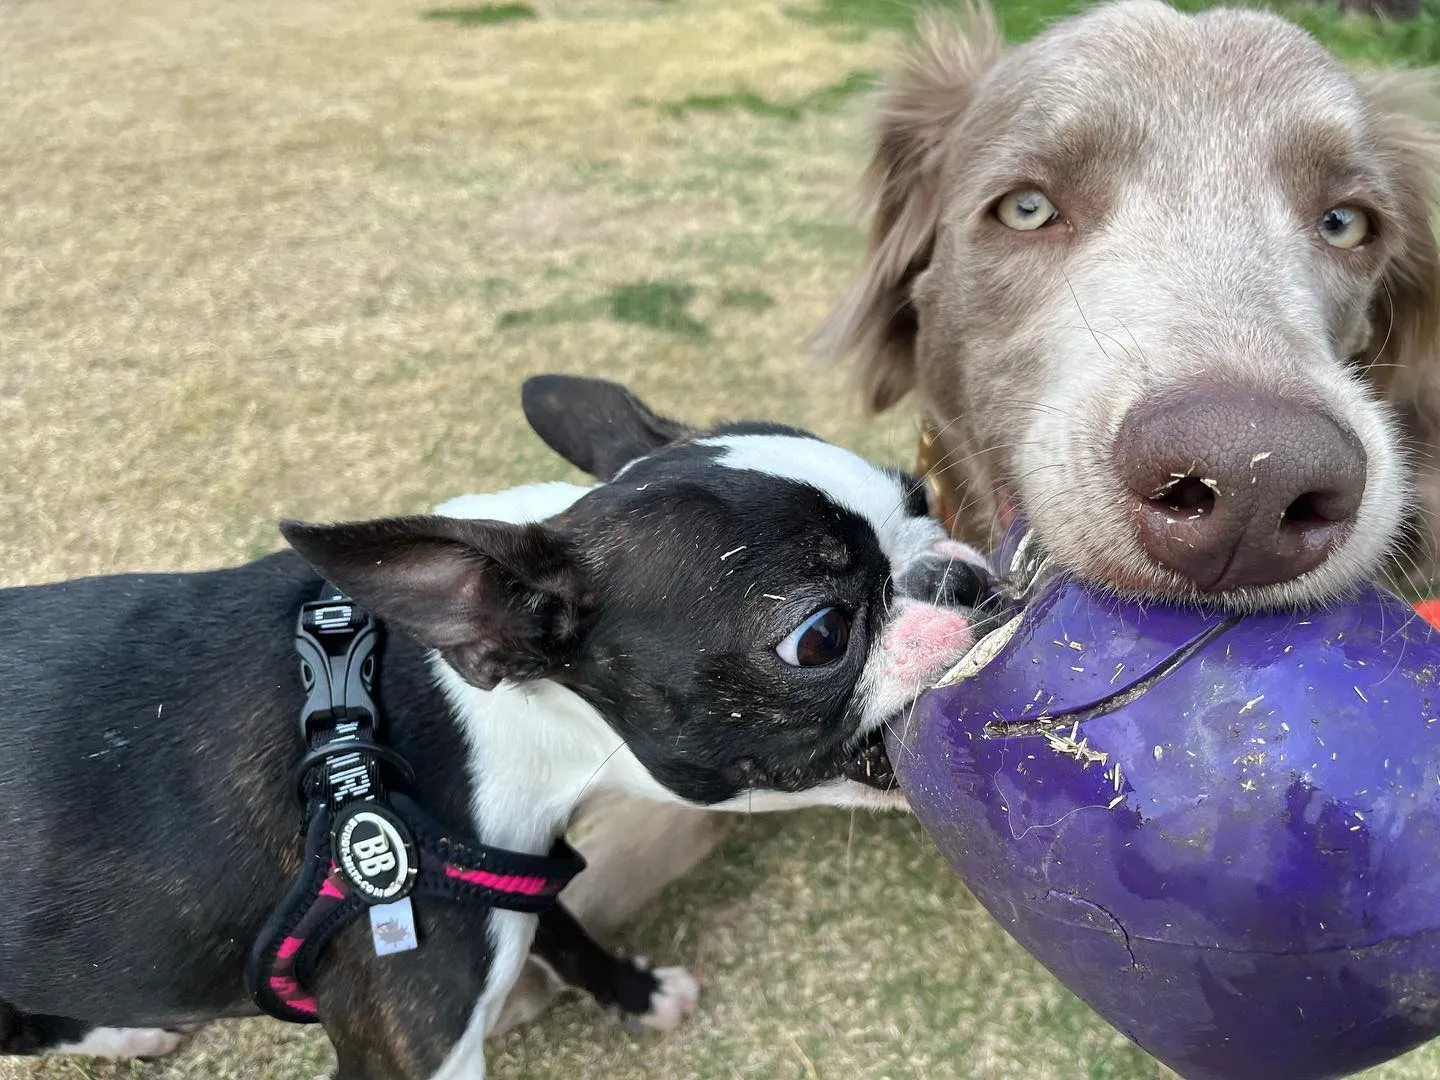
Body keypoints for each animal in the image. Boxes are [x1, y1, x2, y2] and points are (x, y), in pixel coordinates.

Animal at [0, 377, 990, 1077]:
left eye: (923, 500)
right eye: (819, 636)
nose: (964, 577)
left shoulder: (506, 867)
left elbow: (565, 926)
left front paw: (636, 994)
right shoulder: (414, 1052)